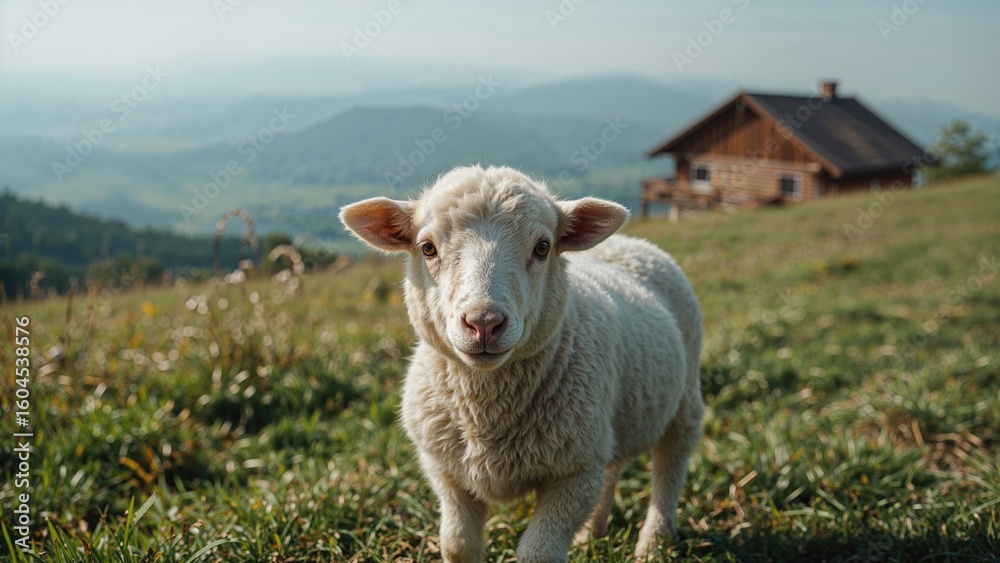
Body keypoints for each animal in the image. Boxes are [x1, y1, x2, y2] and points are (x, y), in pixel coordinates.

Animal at [339, 165, 704, 562]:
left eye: (542, 247)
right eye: (428, 248)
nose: (484, 323)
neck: (485, 410)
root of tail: (630, 242)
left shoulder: (574, 474)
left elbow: (538, 552)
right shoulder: (445, 471)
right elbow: (457, 544)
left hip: (684, 398)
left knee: (671, 463)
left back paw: (654, 542)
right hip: (609, 425)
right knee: (613, 466)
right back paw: (591, 534)